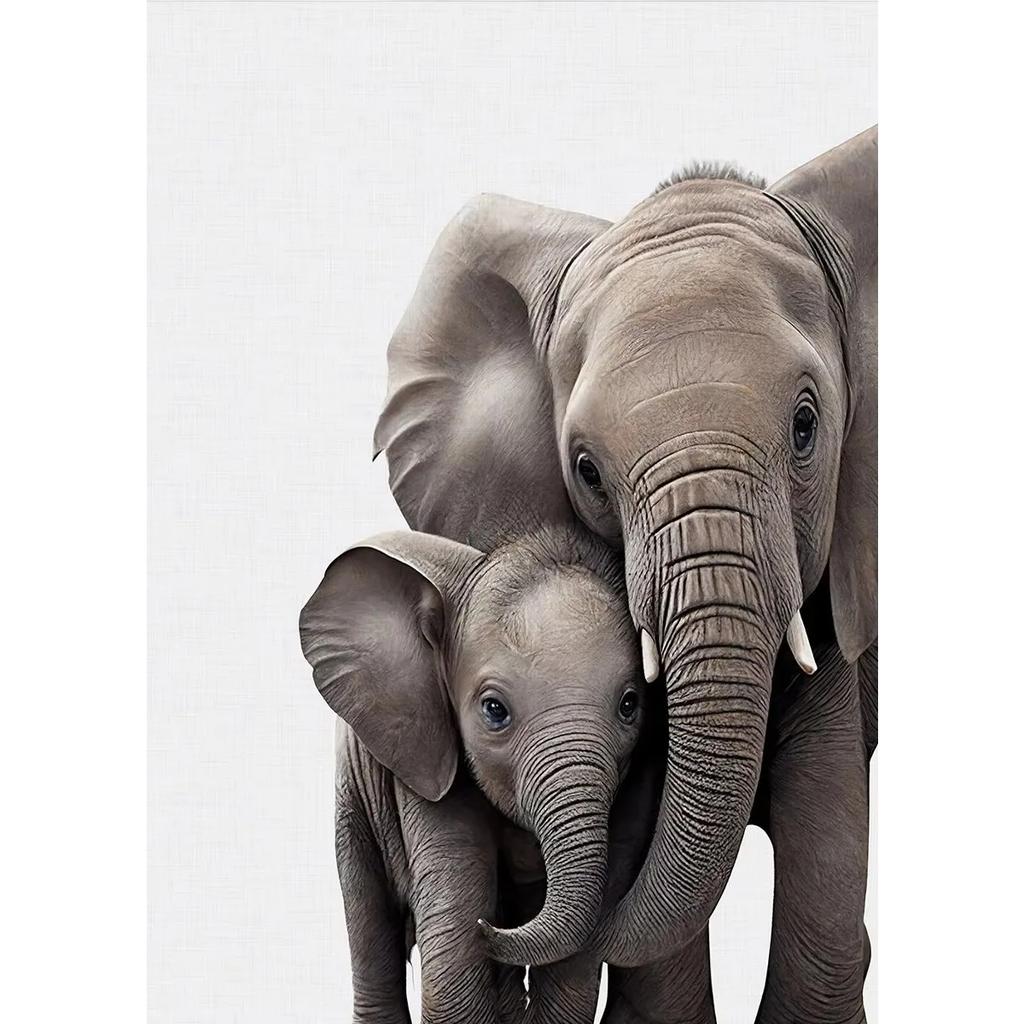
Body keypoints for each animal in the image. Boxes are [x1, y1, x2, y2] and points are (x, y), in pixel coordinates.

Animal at [298, 526, 651, 1023]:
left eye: (630, 705)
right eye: (494, 710)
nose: (490, 929)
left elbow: (573, 974)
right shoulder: (424, 750)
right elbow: (452, 961)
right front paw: (474, 930)